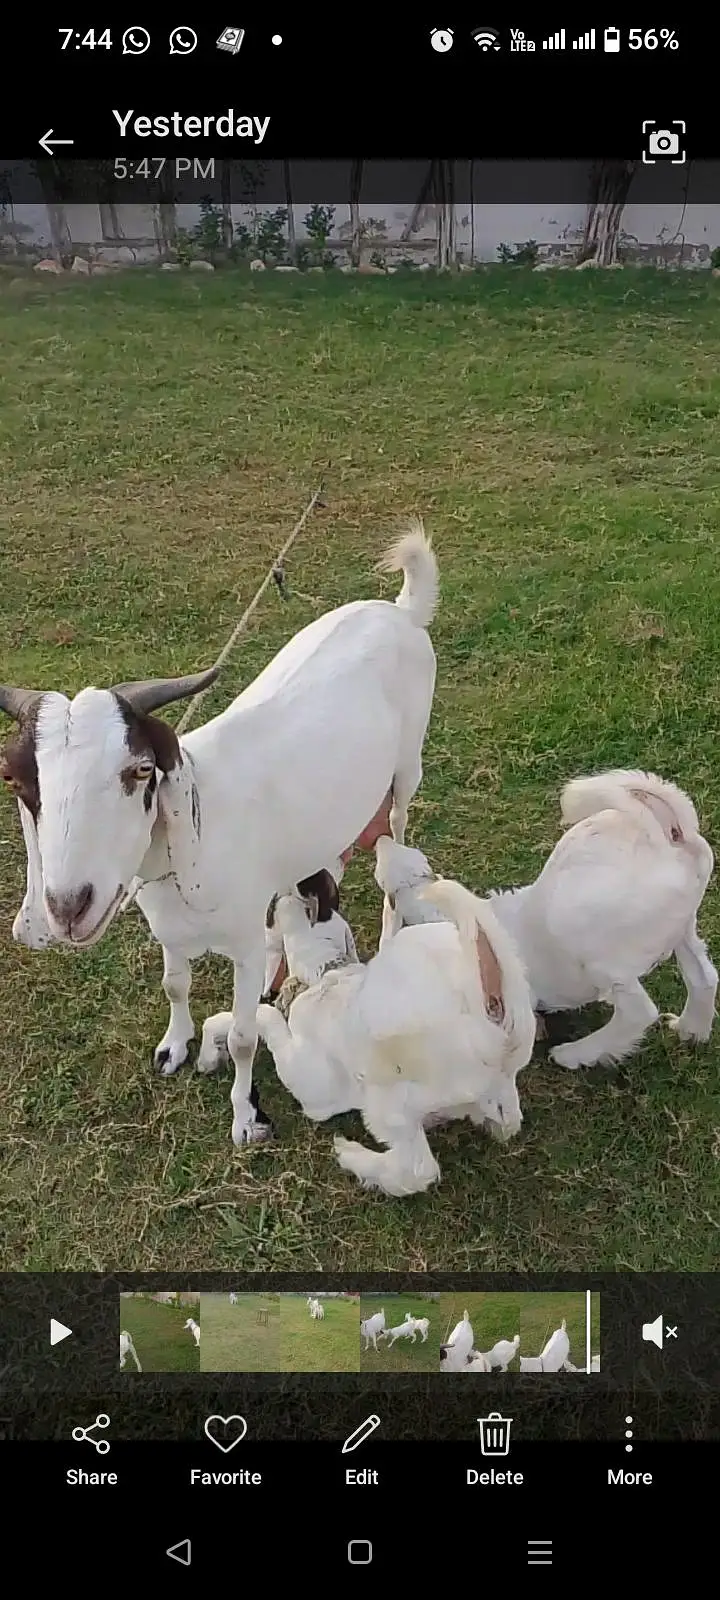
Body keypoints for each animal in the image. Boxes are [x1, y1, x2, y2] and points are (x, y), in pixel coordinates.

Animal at [0, 523, 439, 1148]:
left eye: (141, 769)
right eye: (15, 778)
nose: (67, 907)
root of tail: (400, 611)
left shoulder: (244, 947)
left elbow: (243, 1037)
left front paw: (245, 1116)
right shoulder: (169, 930)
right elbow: (174, 986)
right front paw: (173, 1046)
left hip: (406, 769)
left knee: (396, 832)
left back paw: (388, 924)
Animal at [257, 874, 535, 1196]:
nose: (275, 894)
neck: (325, 973)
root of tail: (495, 1024)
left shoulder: (309, 1084)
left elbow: (277, 1033)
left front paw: (259, 1014)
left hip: (388, 1101)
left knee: (417, 1170)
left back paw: (353, 1156)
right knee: (508, 1121)